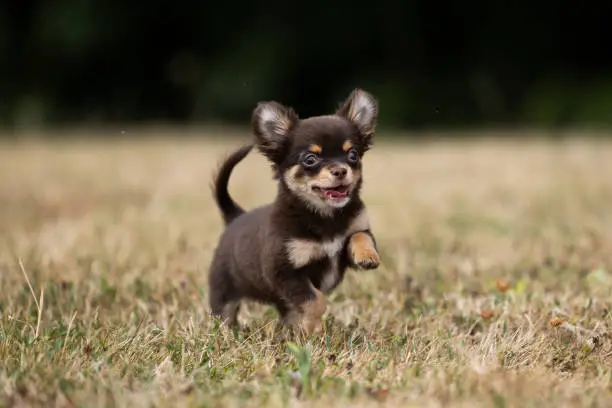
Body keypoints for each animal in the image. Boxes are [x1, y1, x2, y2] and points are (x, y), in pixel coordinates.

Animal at [210, 87, 382, 334]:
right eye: (310, 159)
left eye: (353, 155)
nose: (340, 170)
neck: (325, 216)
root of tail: (235, 216)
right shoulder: (285, 272)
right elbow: (314, 300)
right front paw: (313, 330)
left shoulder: (352, 237)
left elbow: (360, 236)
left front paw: (367, 255)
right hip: (223, 294)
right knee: (224, 315)